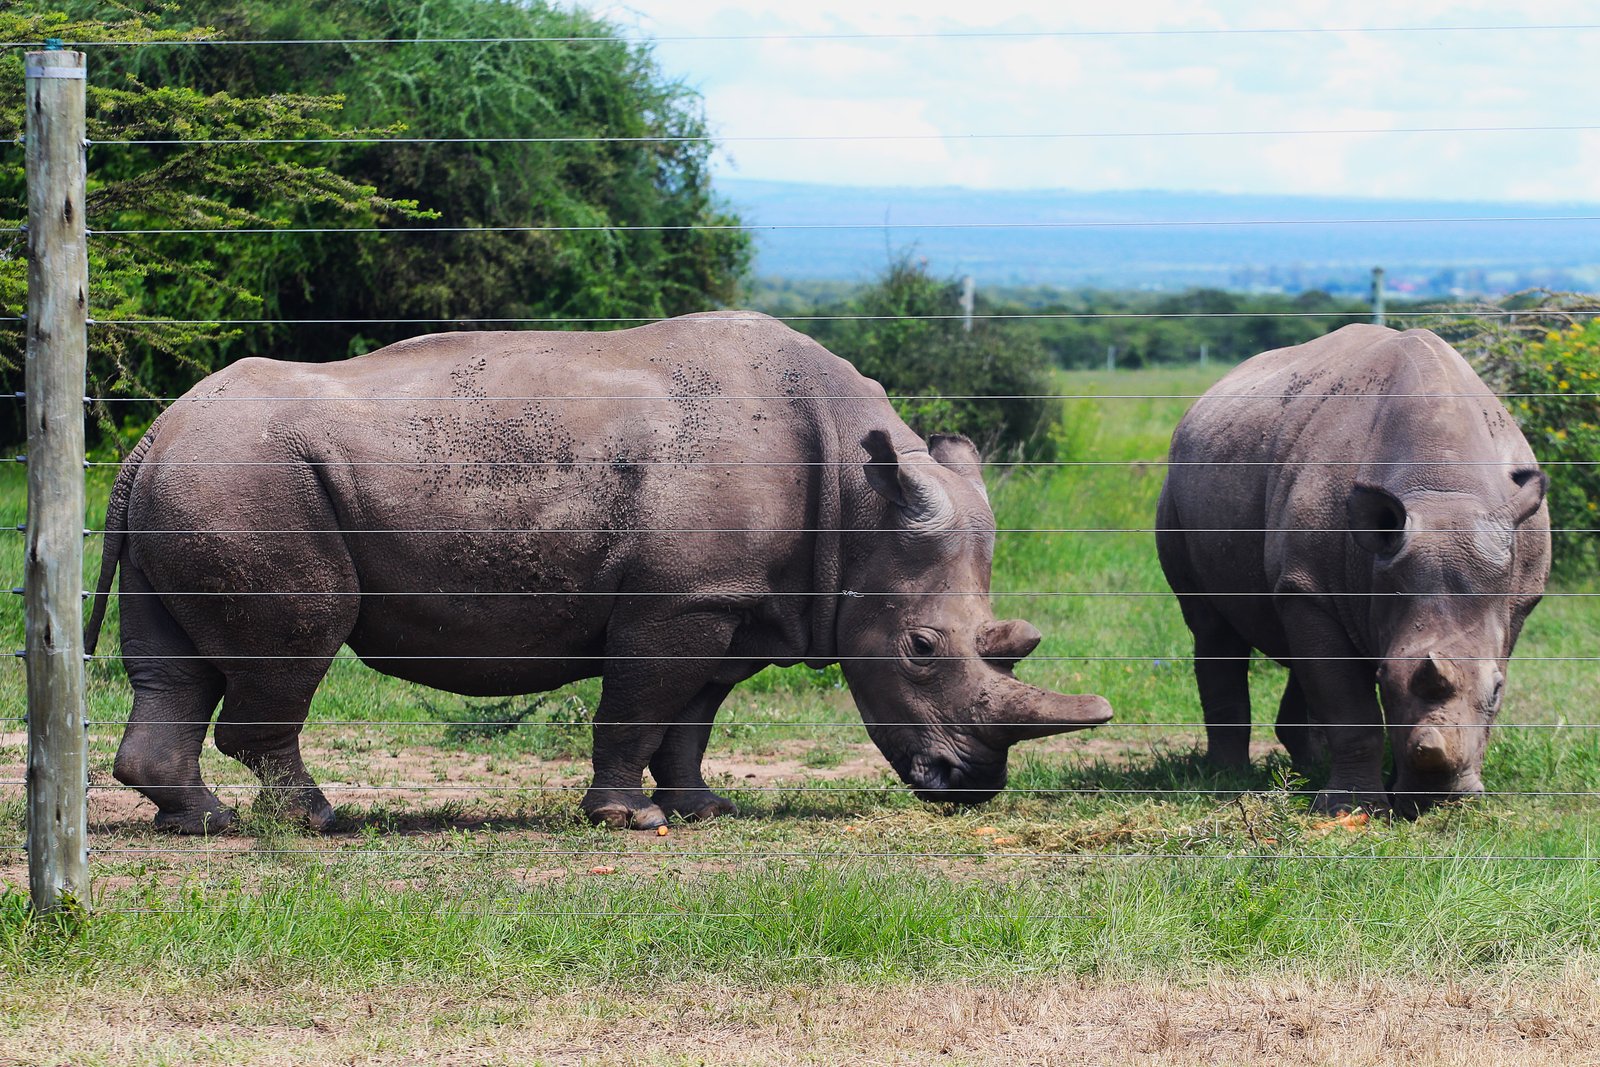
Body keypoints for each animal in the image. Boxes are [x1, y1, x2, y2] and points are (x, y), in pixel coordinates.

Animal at [84, 311, 1112, 833]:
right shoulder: (678, 601)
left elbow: (689, 717)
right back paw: (318, 822)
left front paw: (703, 809)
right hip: (247, 476)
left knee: (172, 664)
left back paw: (202, 822)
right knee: (298, 643)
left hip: (198, 475)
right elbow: (639, 704)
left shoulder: (732, 600)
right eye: (920, 648)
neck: (860, 507)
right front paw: (628, 821)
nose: (968, 785)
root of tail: (151, 436)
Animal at [1155, 324, 1550, 816]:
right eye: (1384, 680)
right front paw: (1350, 809)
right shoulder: (1310, 586)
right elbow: (1348, 704)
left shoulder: (1516, 599)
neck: (1442, 487)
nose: (1437, 799)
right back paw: (1228, 777)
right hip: (1176, 488)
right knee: (1212, 627)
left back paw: (1306, 767)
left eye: (1497, 692)